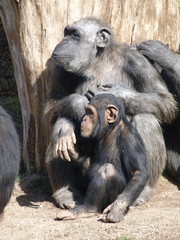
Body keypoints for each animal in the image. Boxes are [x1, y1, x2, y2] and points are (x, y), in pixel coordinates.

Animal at [56, 93, 149, 222]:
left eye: (90, 113)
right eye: (86, 111)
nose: (84, 118)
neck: (111, 129)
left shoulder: (131, 139)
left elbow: (139, 172)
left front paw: (116, 208)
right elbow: (86, 161)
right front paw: (66, 133)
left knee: (107, 170)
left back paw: (88, 209)